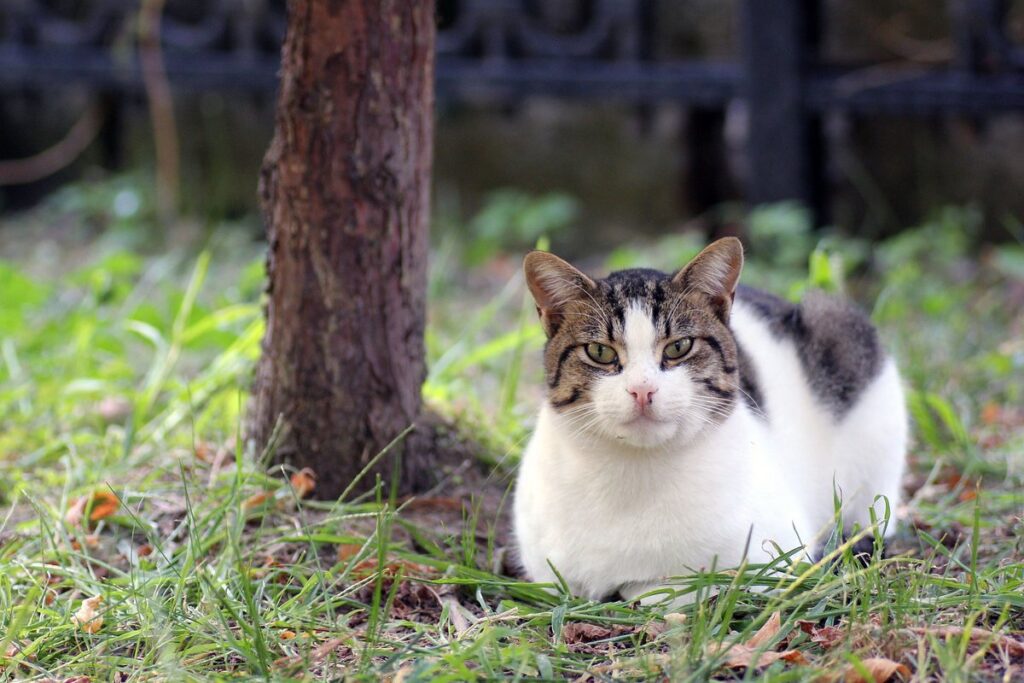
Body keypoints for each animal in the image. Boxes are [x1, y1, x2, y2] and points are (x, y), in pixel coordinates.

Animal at [516, 237, 909, 602]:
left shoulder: (774, 555)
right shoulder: (547, 573)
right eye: (600, 351)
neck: (634, 472)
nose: (643, 390)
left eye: (678, 347)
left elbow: (673, 587)